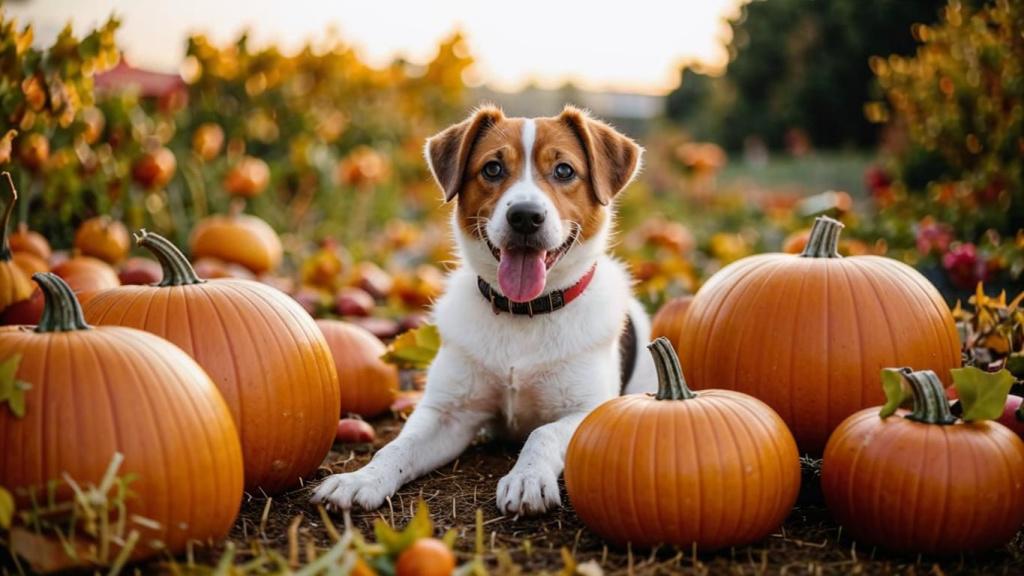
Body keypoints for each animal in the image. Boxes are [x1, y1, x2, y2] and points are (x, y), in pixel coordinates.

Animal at [307, 105, 655, 512]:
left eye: (564, 170)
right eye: (492, 169)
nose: (525, 216)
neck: (523, 312)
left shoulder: (589, 411)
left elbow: (543, 433)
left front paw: (526, 478)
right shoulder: (447, 413)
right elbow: (396, 448)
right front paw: (362, 478)